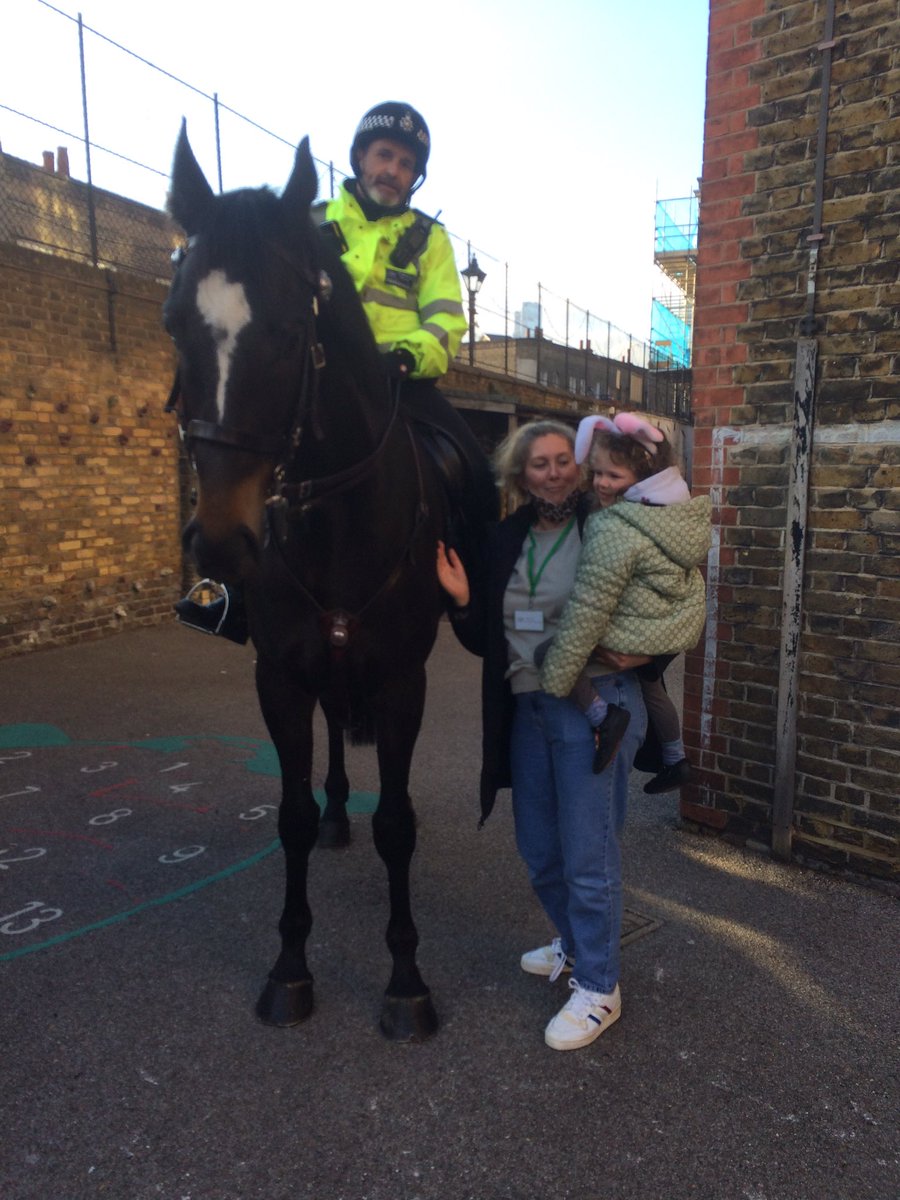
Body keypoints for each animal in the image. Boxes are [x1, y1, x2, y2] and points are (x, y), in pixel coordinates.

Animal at [163, 123, 490, 1041]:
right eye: (174, 324)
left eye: (285, 329)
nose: (223, 540)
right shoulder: (280, 676)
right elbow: (294, 817)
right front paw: (290, 968)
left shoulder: (405, 679)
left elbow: (399, 824)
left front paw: (406, 981)